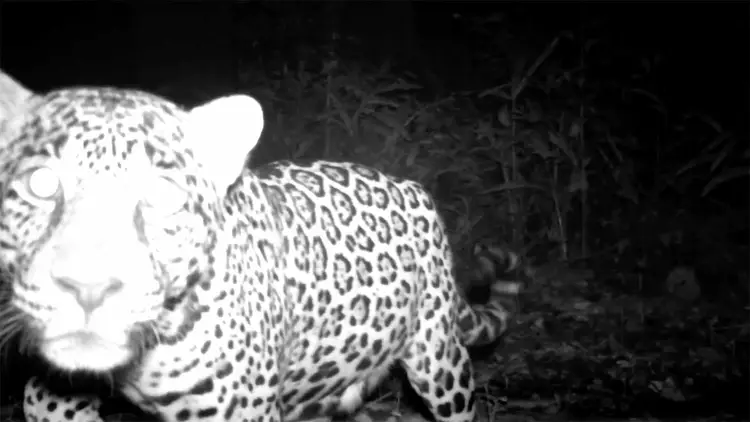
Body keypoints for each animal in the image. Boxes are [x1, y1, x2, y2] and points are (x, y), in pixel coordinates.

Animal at [0, 70, 529, 422]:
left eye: (163, 195)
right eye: (41, 183)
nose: (87, 288)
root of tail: (412, 188)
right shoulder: (52, 396)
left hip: (438, 359)